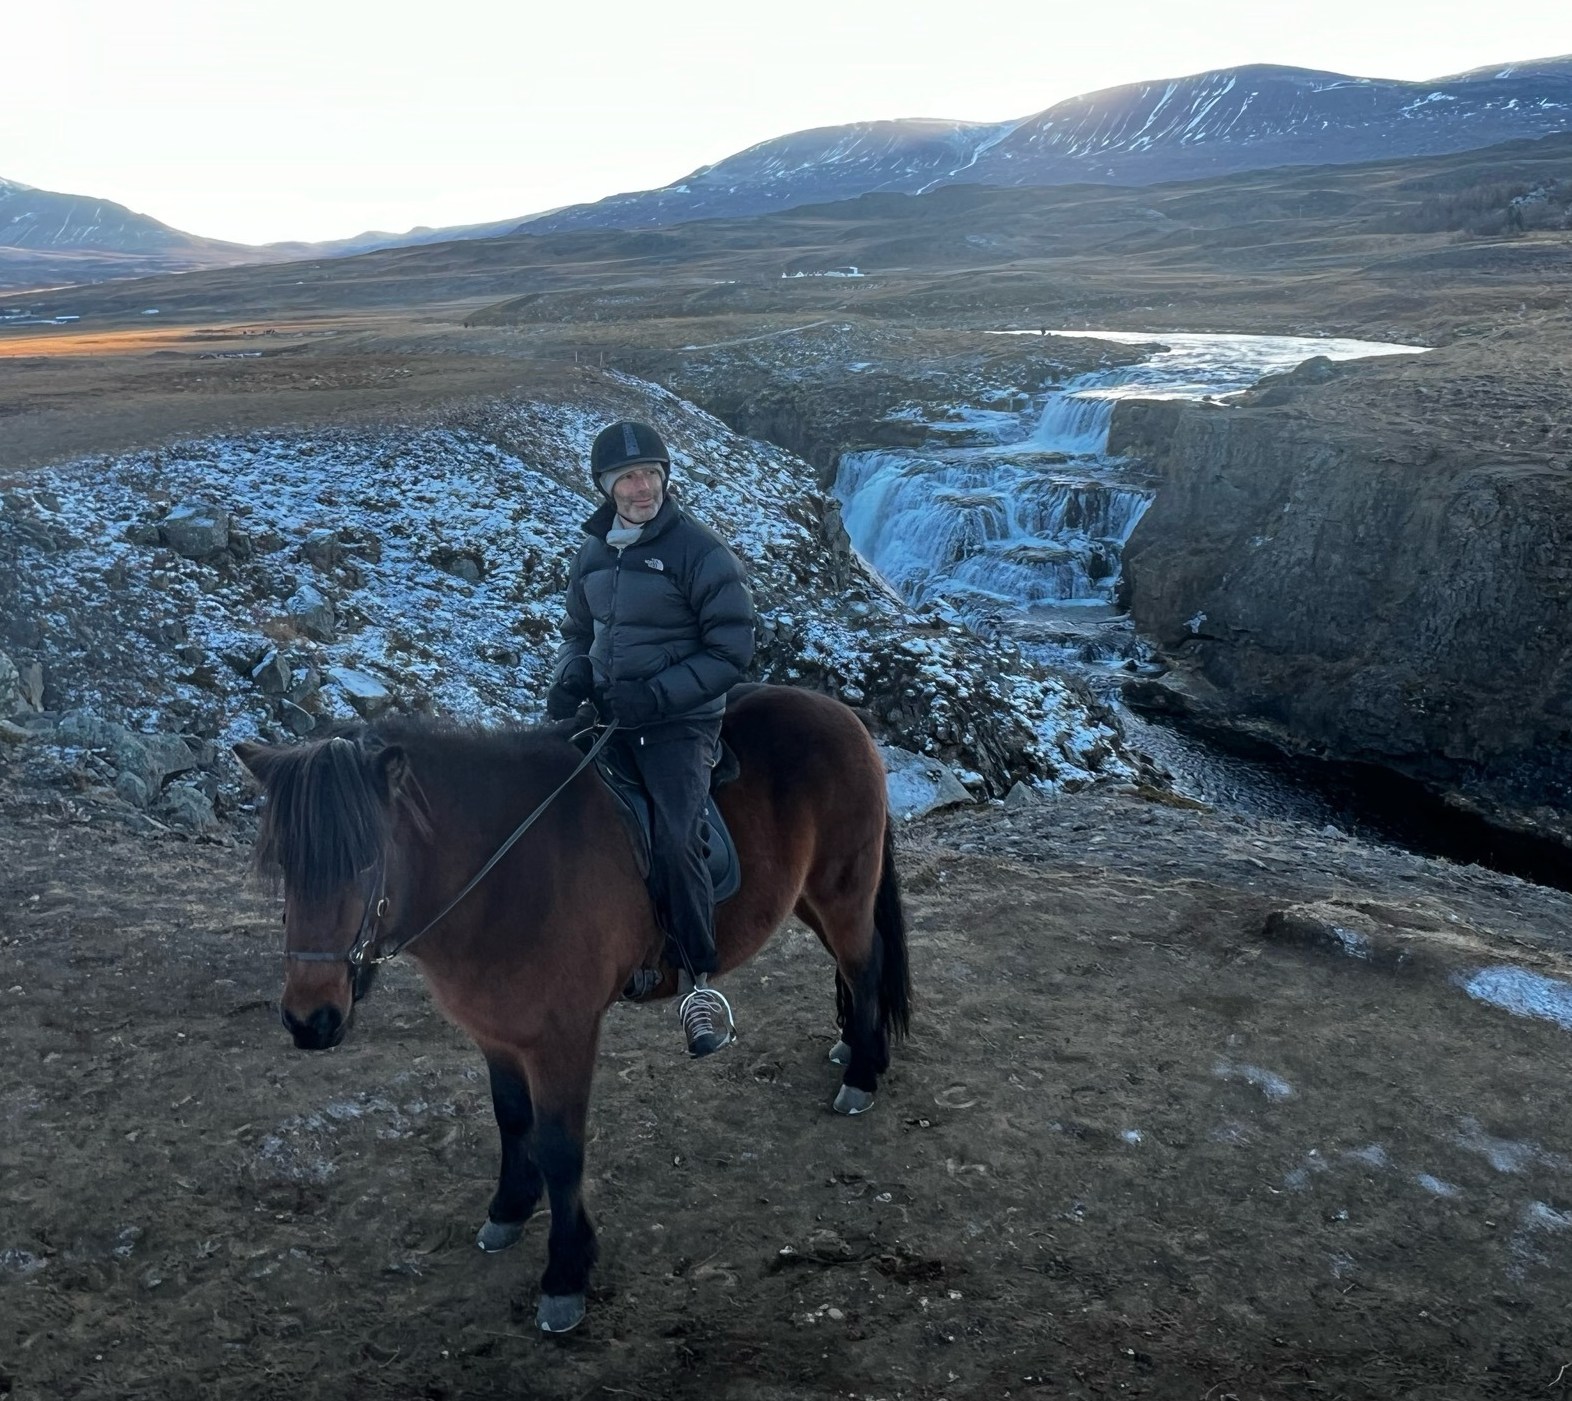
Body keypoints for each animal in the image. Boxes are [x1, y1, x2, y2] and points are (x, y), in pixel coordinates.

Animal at [238, 688, 918, 1339]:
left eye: (364, 858)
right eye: (286, 862)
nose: (310, 1020)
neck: (506, 875)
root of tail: (841, 714)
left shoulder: (562, 1037)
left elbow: (561, 1148)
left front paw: (565, 1275)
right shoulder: (497, 1032)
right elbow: (513, 1121)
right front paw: (508, 1210)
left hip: (841, 889)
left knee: (865, 965)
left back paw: (861, 1074)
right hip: (805, 897)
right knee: (856, 968)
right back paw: (855, 1046)